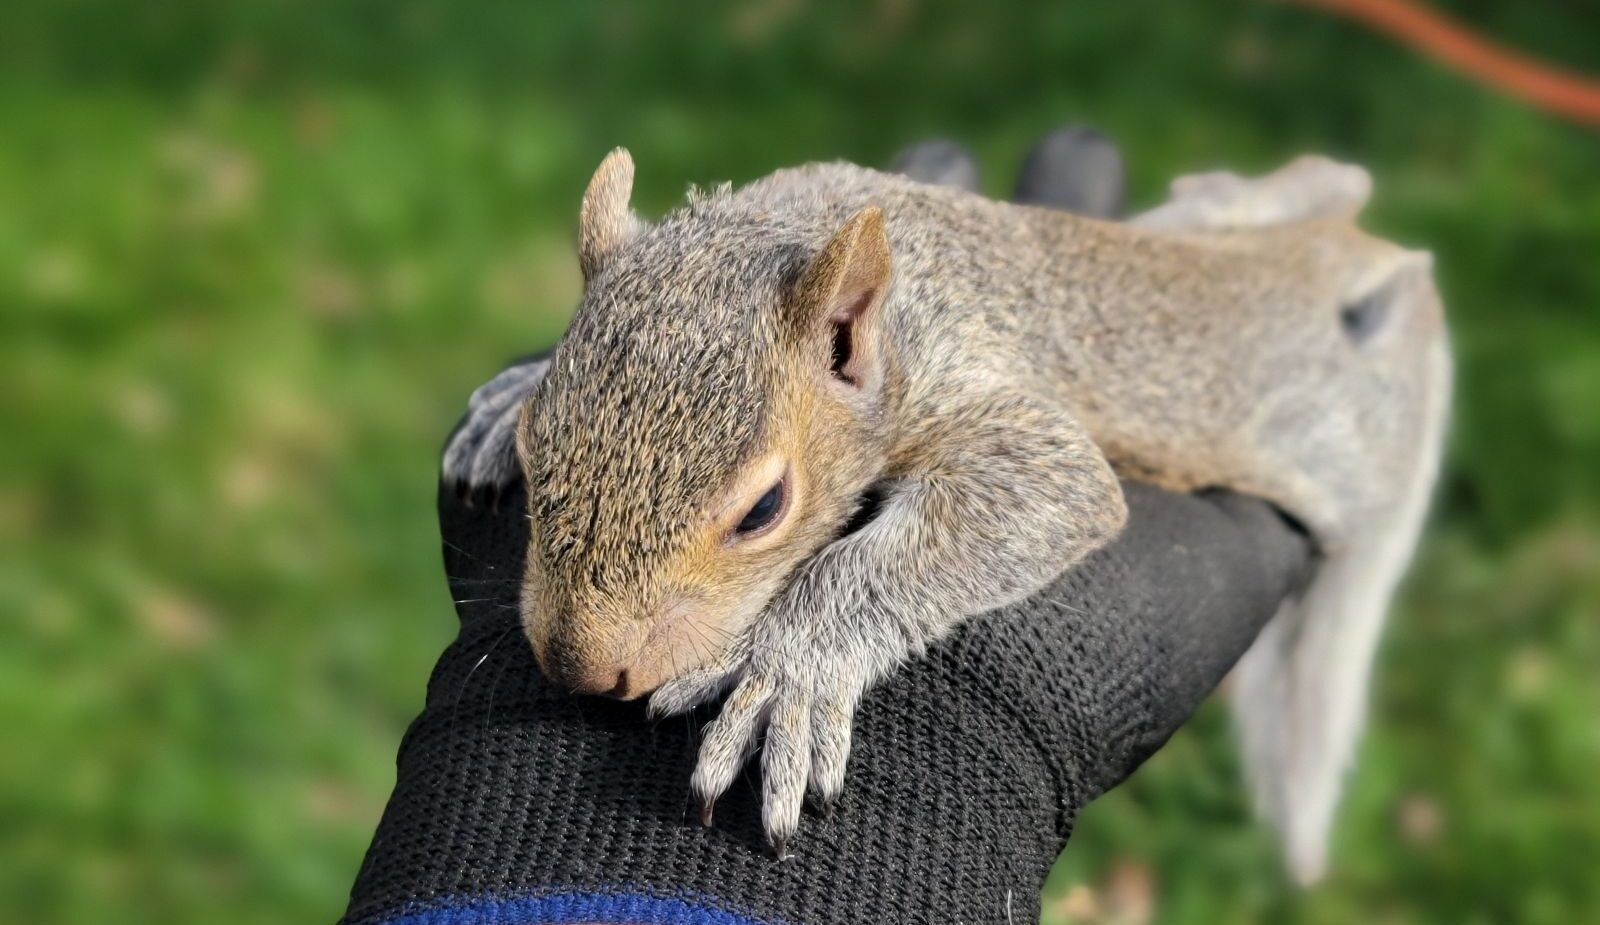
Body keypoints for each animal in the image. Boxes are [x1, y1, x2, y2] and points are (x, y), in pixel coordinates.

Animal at [443, 146, 1451, 883]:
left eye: (764, 508)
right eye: (536, 446)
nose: (582, 665)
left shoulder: (999, 412)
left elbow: (1013, 502)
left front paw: (784, 669)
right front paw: (503, 401)